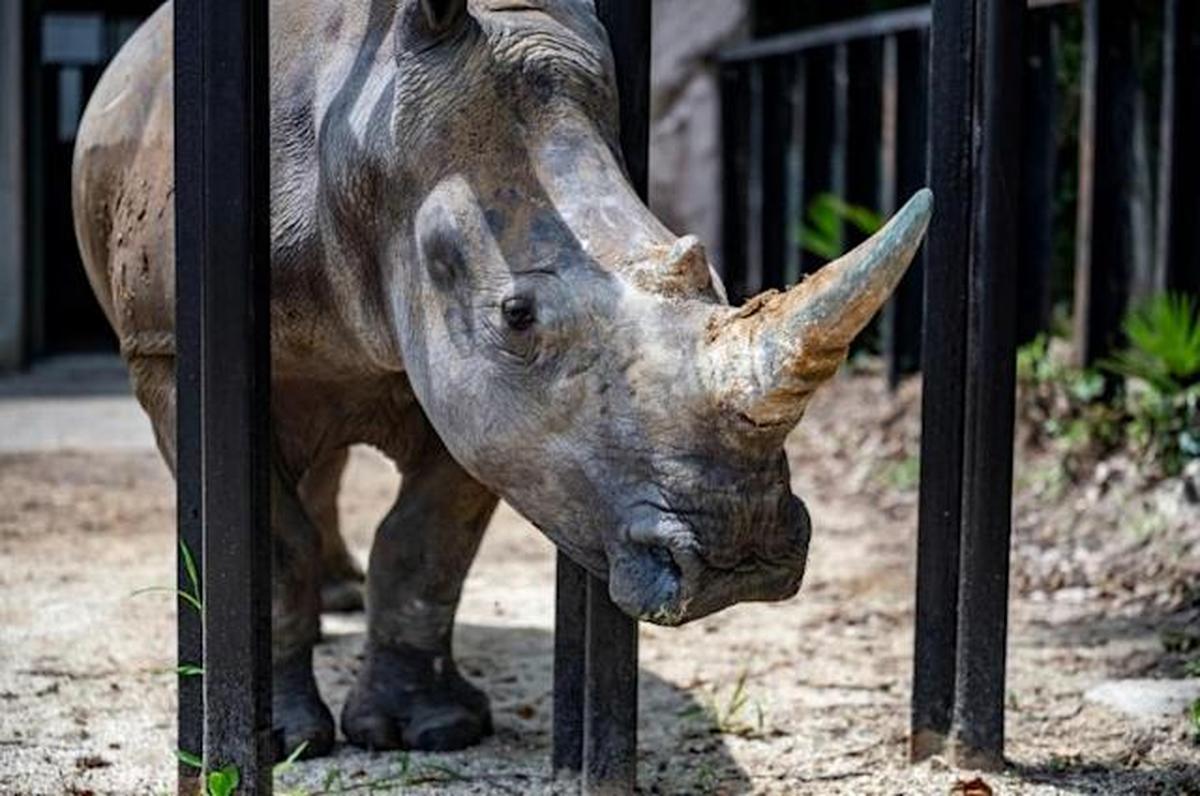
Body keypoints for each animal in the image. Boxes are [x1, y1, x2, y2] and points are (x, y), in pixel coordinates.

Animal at [72, 0, 932, 759]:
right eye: (517, 315)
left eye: (714, 280)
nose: (740, 555)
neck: (359, 143)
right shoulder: (168, 348)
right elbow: (273, 543)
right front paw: (286, 742)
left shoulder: (492, 409)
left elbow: (427, 542)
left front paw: (429, 731)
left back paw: (342, 598)